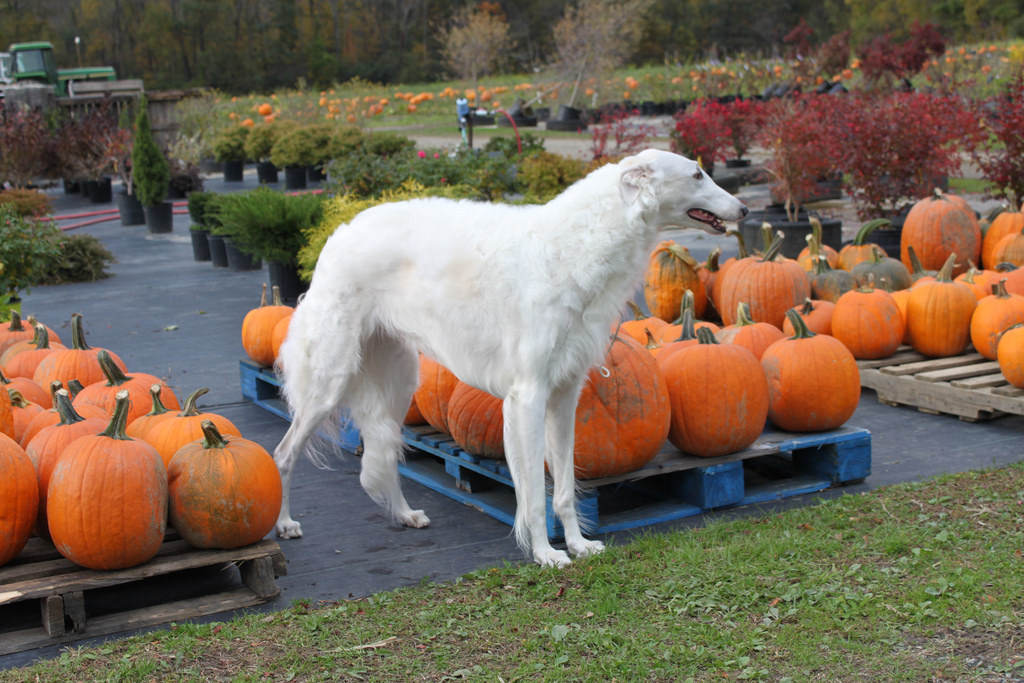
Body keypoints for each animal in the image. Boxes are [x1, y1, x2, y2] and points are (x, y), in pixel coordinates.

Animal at [273, 149, 748, 567]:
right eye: (696, 175)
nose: (743, 209)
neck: (575, 246)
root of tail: (340, 231)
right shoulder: (528, 396)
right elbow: (534, 494)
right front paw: (546, 554)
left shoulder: (565, 394)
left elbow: (565, 487)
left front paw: (578, 545)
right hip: (328, 382)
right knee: (283, 454)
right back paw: (284, 523)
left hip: (397, 381)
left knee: (384, 453)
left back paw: (405, 514)